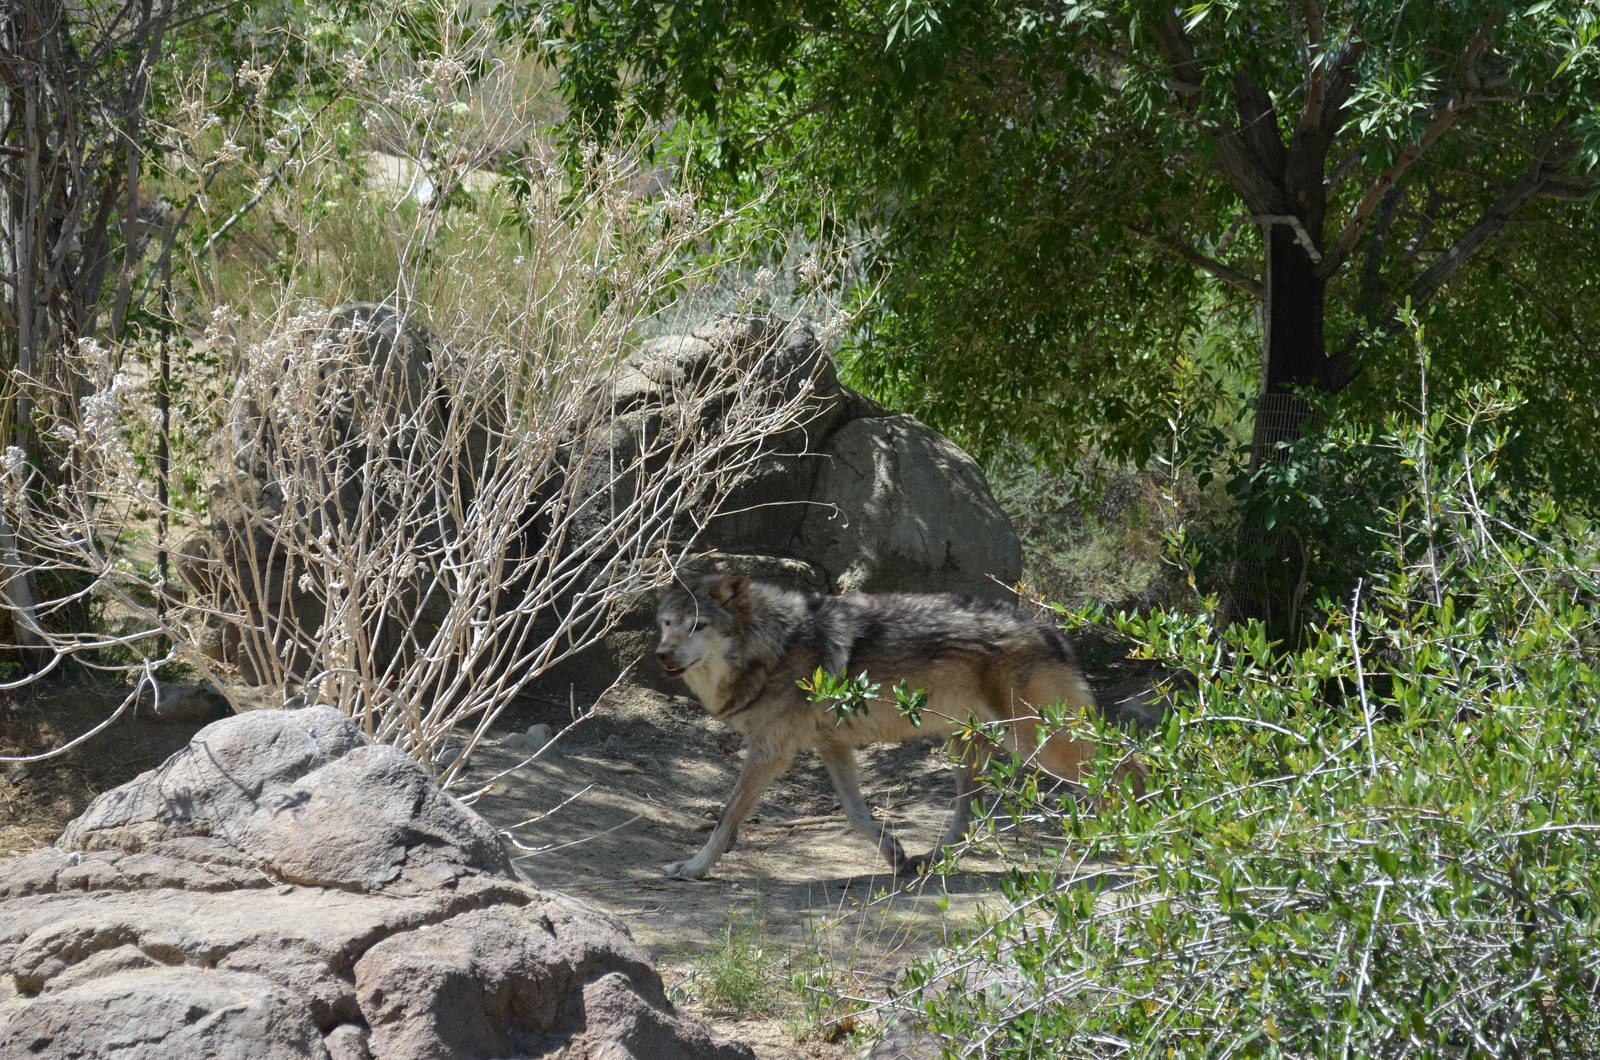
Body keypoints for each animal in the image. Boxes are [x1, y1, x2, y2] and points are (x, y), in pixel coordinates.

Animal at [653, 570, 1141, 880]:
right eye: (667, 624)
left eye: (698, 626)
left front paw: (694, 868)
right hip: (971, 747)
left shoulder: (771, 751)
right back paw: (932, 860)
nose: (662, 655)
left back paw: (1133, 839)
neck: (773, 644)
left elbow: (726, 816)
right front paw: (895, 854)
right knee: (970, 814)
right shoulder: (832, 746)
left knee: (1121, 770)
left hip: (1037, 743)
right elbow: (857, 814)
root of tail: (1049, 631)